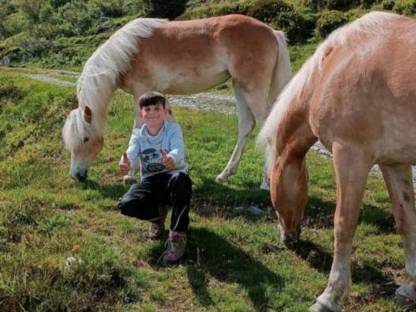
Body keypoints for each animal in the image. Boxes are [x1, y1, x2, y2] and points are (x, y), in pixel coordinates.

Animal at [61, 14, 290, 183]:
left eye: (85, 139)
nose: (77, 175)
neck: (127, 53)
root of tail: (272, 31)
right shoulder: (158, 96)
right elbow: (169, 123)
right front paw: (181, 164)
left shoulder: (141, 93)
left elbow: (138, 129)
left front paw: (131, 173)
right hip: (239, 86)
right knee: (246, 126)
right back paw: (225, 174)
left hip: (251, 89)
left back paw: (267, 181)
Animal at [258, 11, 416, 312]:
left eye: (271, 180)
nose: (288, 239)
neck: (334, 66)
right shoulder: (393, 162)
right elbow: (406, 220)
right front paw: (410, 286)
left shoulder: (350, 155)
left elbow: (343, 225)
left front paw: (329, 296)